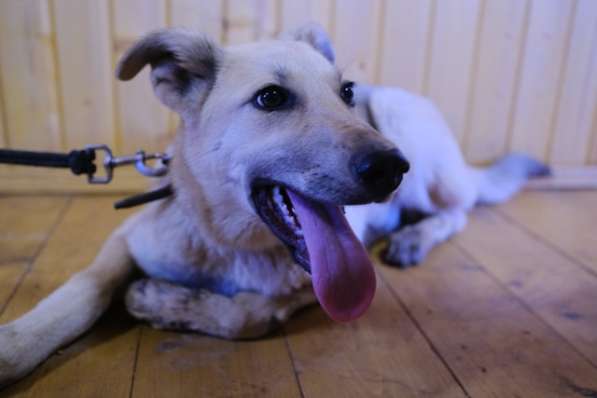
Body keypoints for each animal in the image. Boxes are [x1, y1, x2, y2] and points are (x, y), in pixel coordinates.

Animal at [0, 23, 548, 388]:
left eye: (347, 92)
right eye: (270, 98)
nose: (393, 168)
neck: (225, 244)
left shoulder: (312, 289)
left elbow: (247, 315)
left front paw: (165, 302)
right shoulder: (126, 238)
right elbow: (85, 288)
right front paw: (20, 344)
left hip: (402, 119)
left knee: (456, 211)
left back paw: (413, 236)